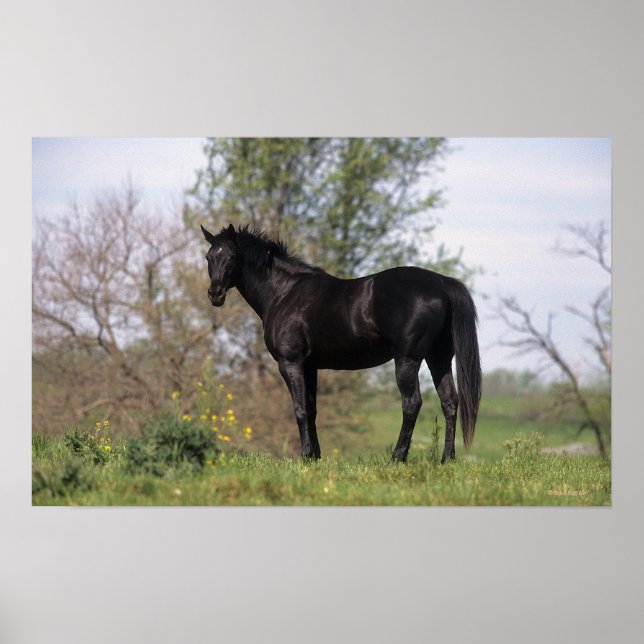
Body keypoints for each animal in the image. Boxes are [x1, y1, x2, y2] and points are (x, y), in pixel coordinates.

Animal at [201, 223, 481, 463]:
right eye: (208, 257)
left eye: (232, 256)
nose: (215, 294)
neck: (283, 293)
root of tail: (442, 283)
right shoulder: (310, 366)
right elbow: (312, 409)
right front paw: (315, 456)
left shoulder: (290, 363)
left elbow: (300, 409)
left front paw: (305, 456)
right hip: (439, 358)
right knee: (450, 402)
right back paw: (447, 458)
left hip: (407, 360)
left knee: (412, 404)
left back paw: (397, 457)